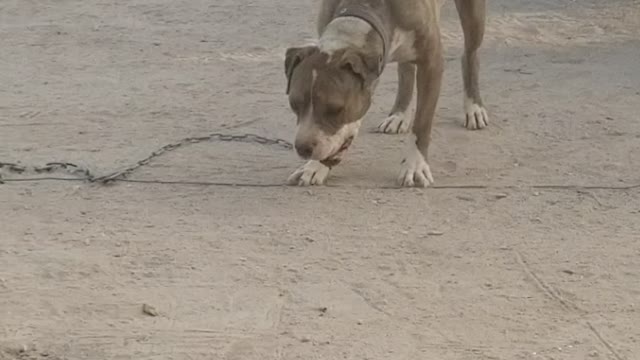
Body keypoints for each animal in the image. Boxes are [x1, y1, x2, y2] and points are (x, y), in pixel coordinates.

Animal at [282, 0, 488, 188]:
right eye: (293, 104)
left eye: (336, 109)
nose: (302, 148)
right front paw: (314, 167)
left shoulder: (431, 62)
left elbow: (422, 123)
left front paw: (415, 166)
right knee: (406, 69)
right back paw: (399, 115)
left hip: (473, 18)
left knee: (470, 54)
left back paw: (473, 108)